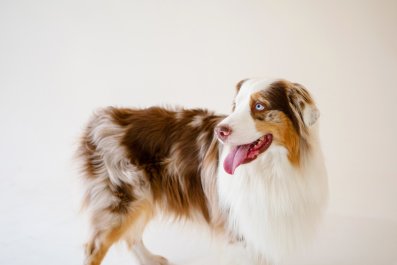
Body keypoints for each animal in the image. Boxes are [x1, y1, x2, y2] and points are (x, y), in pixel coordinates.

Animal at [78, 78, 328, 264]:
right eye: (235, 106)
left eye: (259, 106)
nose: (220, 130)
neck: (271, 169)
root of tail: (99, 120)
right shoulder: (238, 230)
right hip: (119, 202)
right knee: (93, 247)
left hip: (141, 198)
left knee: (132, 237)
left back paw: (151, 260)